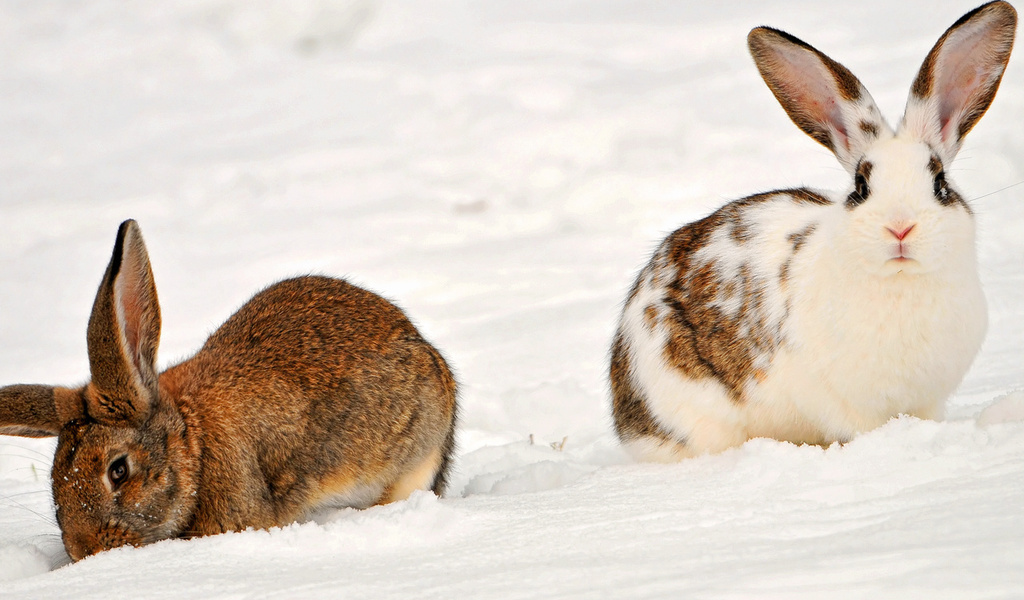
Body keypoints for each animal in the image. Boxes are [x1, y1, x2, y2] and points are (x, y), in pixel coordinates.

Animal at [610, 2, 1011, 460]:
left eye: (940, 183)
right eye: (861, 187)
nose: (900, 228)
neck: (901, 282)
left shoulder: (927, 399)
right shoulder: (842, 402)